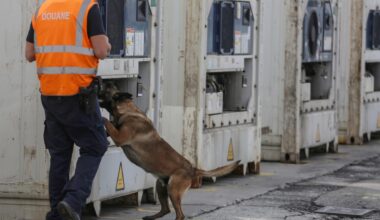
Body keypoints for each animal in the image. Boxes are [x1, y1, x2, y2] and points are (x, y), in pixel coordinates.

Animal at [99, 82, 239, 220]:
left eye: (107, 88)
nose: (101, 80)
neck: (128, 110)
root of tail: (193, 169)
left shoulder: (119, 137)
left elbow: (108, 122)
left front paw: (102, 118)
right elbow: (110, 125)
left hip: (173, 189)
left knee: (180, 214)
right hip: (161, 186)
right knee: (166, 209)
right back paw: (151, 217)